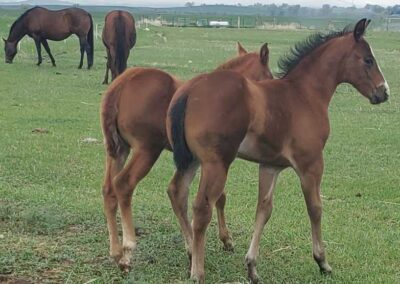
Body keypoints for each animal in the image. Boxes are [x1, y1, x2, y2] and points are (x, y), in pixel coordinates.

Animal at [101, 41, 274, 270]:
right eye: (269, 77)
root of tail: (121, 83)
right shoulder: (212, 159)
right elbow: (215, 197)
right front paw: (225, 239)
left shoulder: (204, 159)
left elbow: (214, 197)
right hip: (147, 150)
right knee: (123, 184)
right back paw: (128, 250)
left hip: (118, 149)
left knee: (108, 190)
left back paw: (115, 251)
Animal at [167, 18, 390, 282]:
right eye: (368, 60)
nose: (384, 92)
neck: (304, 95)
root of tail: (191, 89)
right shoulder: (311, 164)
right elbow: (315, 208)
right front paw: (322, 261)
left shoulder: (270, 166)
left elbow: (264, 210)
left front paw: (252, 266)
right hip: (216, 164)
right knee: (201, 209)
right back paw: (198, 271)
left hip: (191, 160)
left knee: (177, 192)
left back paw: (191, 252)